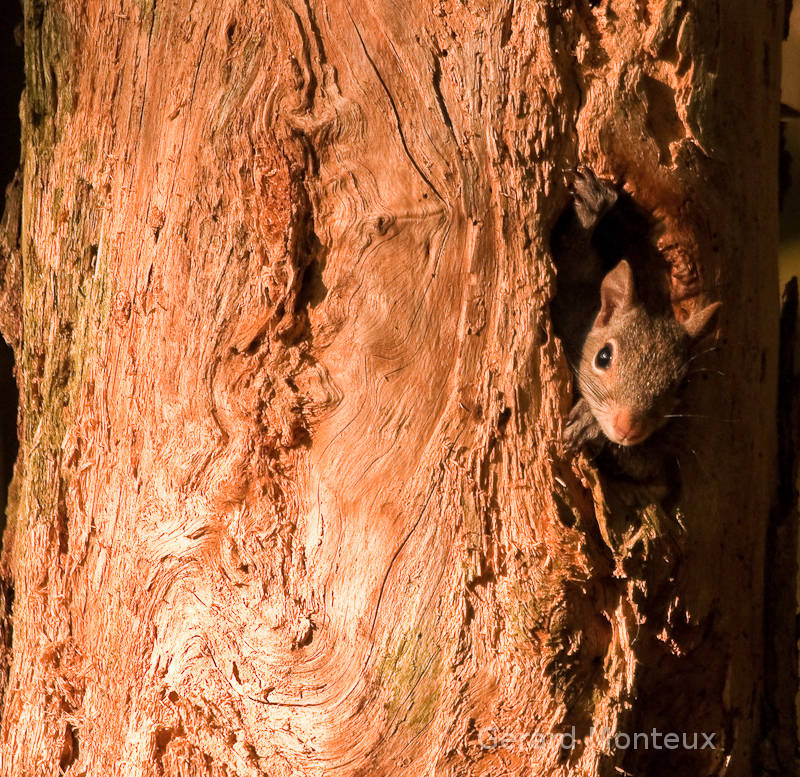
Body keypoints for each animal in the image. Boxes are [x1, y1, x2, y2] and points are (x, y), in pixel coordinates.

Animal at [552, 167, 720, 452]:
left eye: (680, 384)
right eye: (603, 357)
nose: (628, 428)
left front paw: (588, 422)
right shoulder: (572, 297)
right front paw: (591, 206)